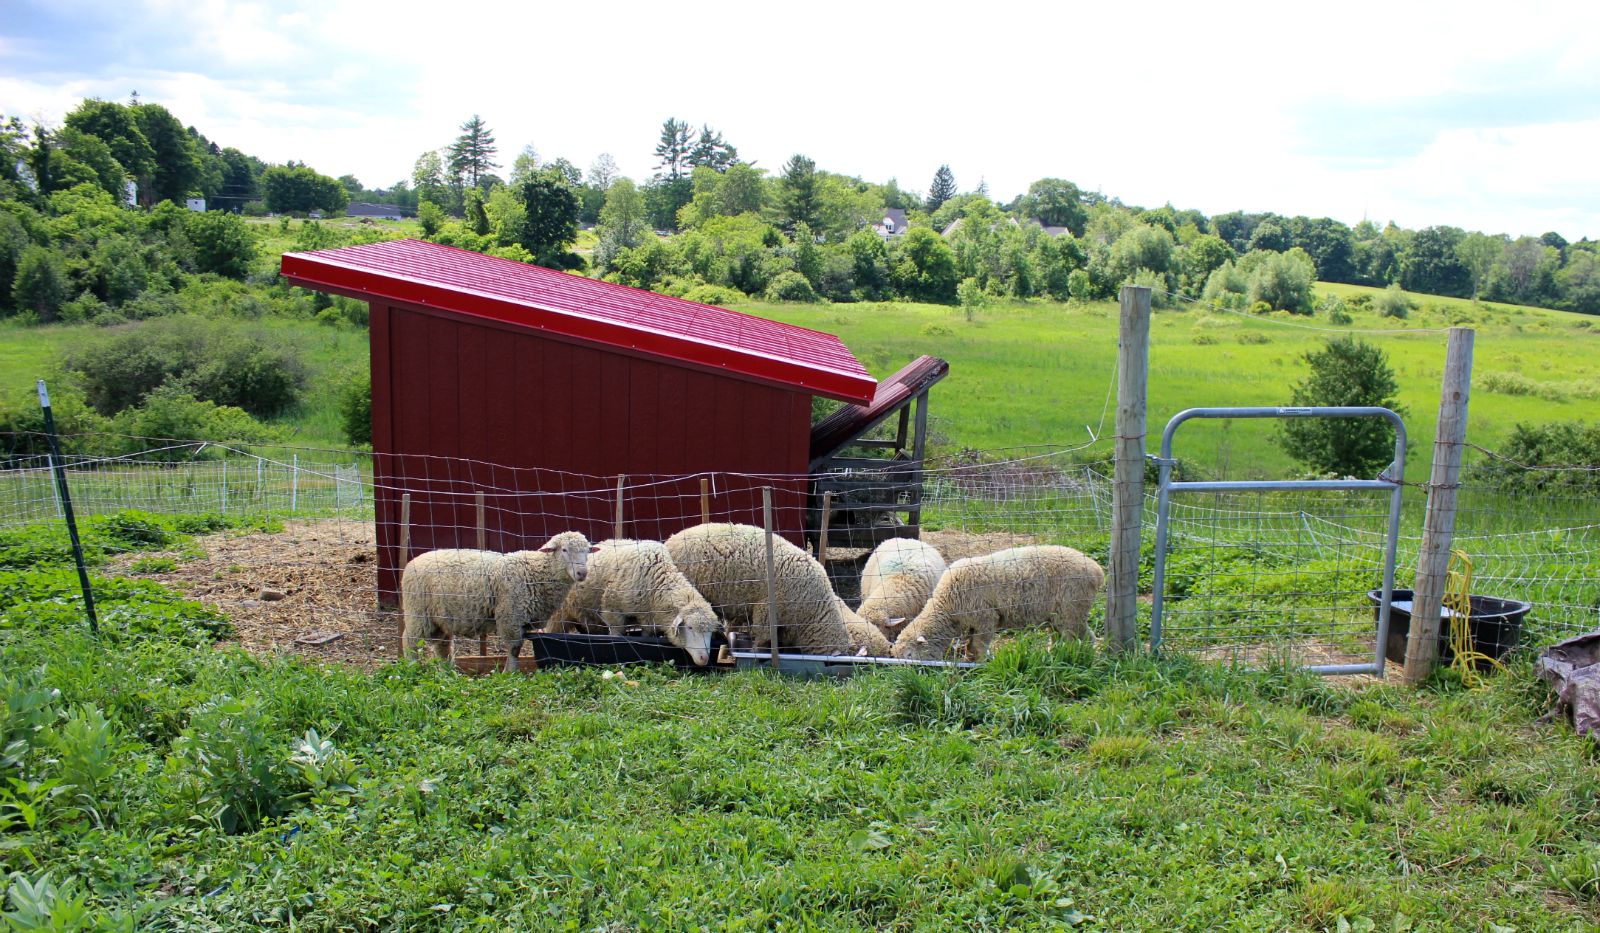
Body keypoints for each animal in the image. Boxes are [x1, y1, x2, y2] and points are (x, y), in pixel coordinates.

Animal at [400, 534, 601, 672]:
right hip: (418, 613)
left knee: (442, 645)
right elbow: (513, 648)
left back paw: (447, 672)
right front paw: (510, 672)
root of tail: (412, 563)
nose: (582, 573)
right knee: (409, 641)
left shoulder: (522, 619)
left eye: (587, 552)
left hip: (441, 618)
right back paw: (412, 667)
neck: (538, 572)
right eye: (564, 550)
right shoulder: (510, 615)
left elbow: (517, 647)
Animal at [553, 544, 723, 668]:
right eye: (689, 627)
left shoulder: (648, 618)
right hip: (560, 614)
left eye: (711, 631)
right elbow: (616, 636)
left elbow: (645, 636)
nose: (704, 658)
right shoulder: (612, 610)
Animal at [889, 547, 1100, 665]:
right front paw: (970, 658)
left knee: (1076, 638)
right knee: (1070, 636)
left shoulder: (985, 618)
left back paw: (1069, 657)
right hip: (1061, 613)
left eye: (909, 654)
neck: (948, 607)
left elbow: (979, 644)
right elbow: (971, 644)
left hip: (1071, 608)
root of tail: (1097, 571)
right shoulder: (972, 623)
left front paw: (980, 663)